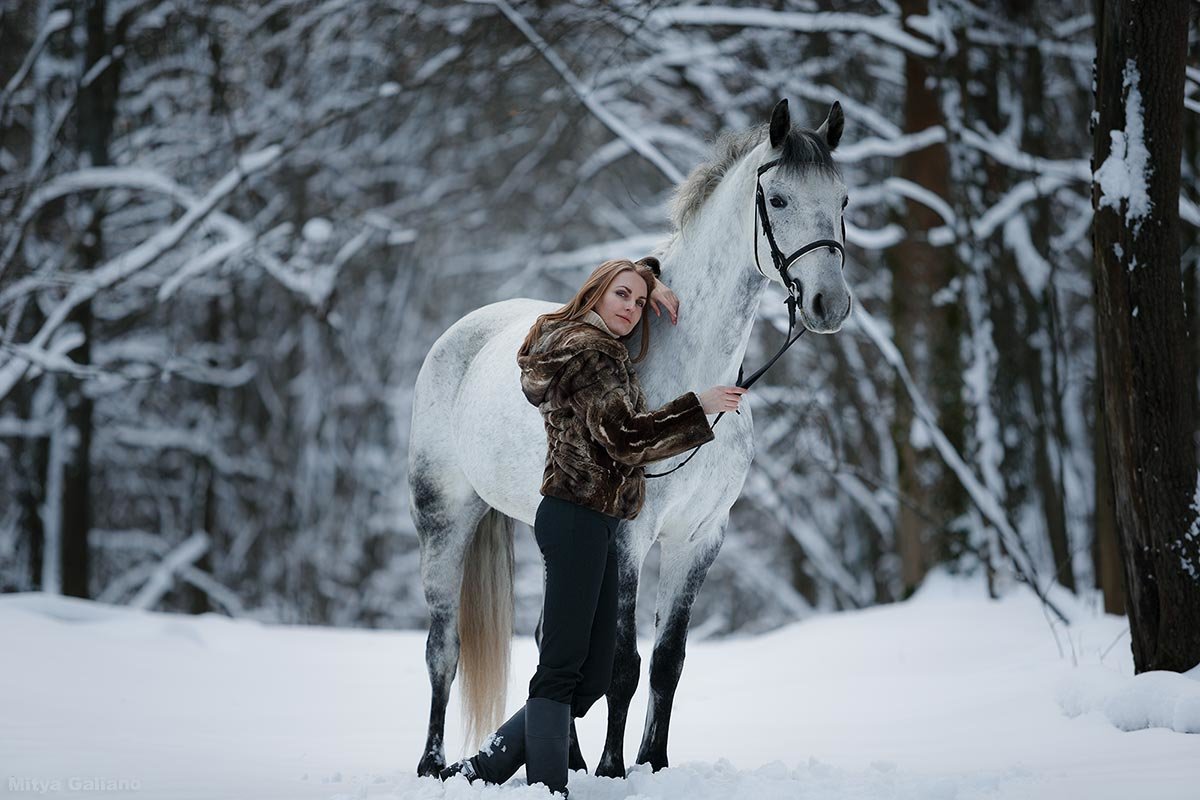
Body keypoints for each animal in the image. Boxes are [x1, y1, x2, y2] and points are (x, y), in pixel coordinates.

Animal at [412, 97, 854, 777]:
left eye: (843, 199)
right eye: (777, 199)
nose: (830, 305)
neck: (691, 370)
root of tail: (461, 333)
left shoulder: (700, 538)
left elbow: (668, 663)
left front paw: (654, 763)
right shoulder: (630, 535)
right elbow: (623, 662)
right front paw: (615, 769)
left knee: (551, 646)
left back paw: (561, 761)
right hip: (444, 519)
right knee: (443, 648)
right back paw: (436, 765)